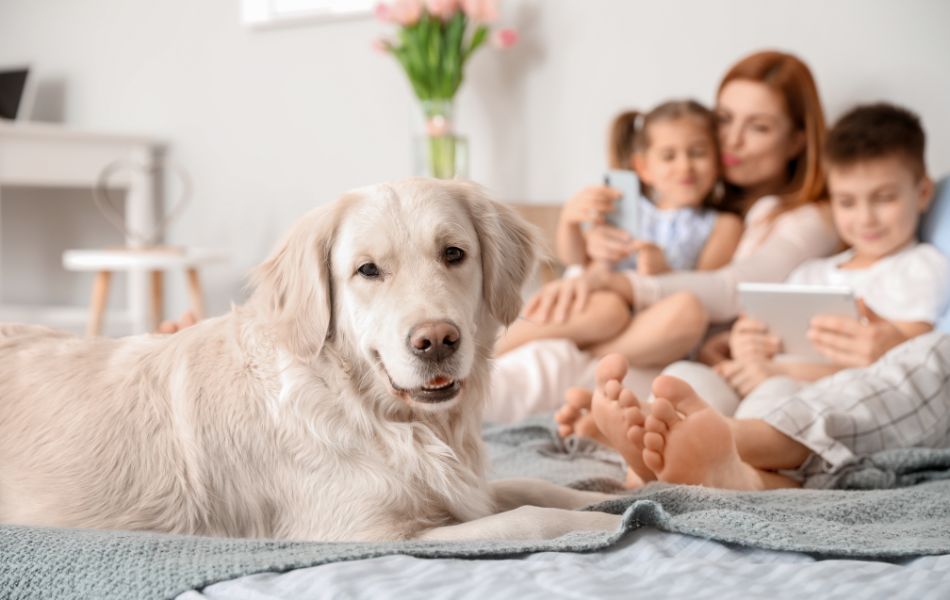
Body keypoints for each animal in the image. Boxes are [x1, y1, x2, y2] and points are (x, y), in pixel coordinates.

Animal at [0, 180, 616, 540]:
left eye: (454, 253)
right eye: (367, 270)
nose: (437, 339)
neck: (369, 408)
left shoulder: (466, 487)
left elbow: (533, 488)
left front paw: (616, 492)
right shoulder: (369, 537)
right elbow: (532, 516)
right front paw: (603, 523)